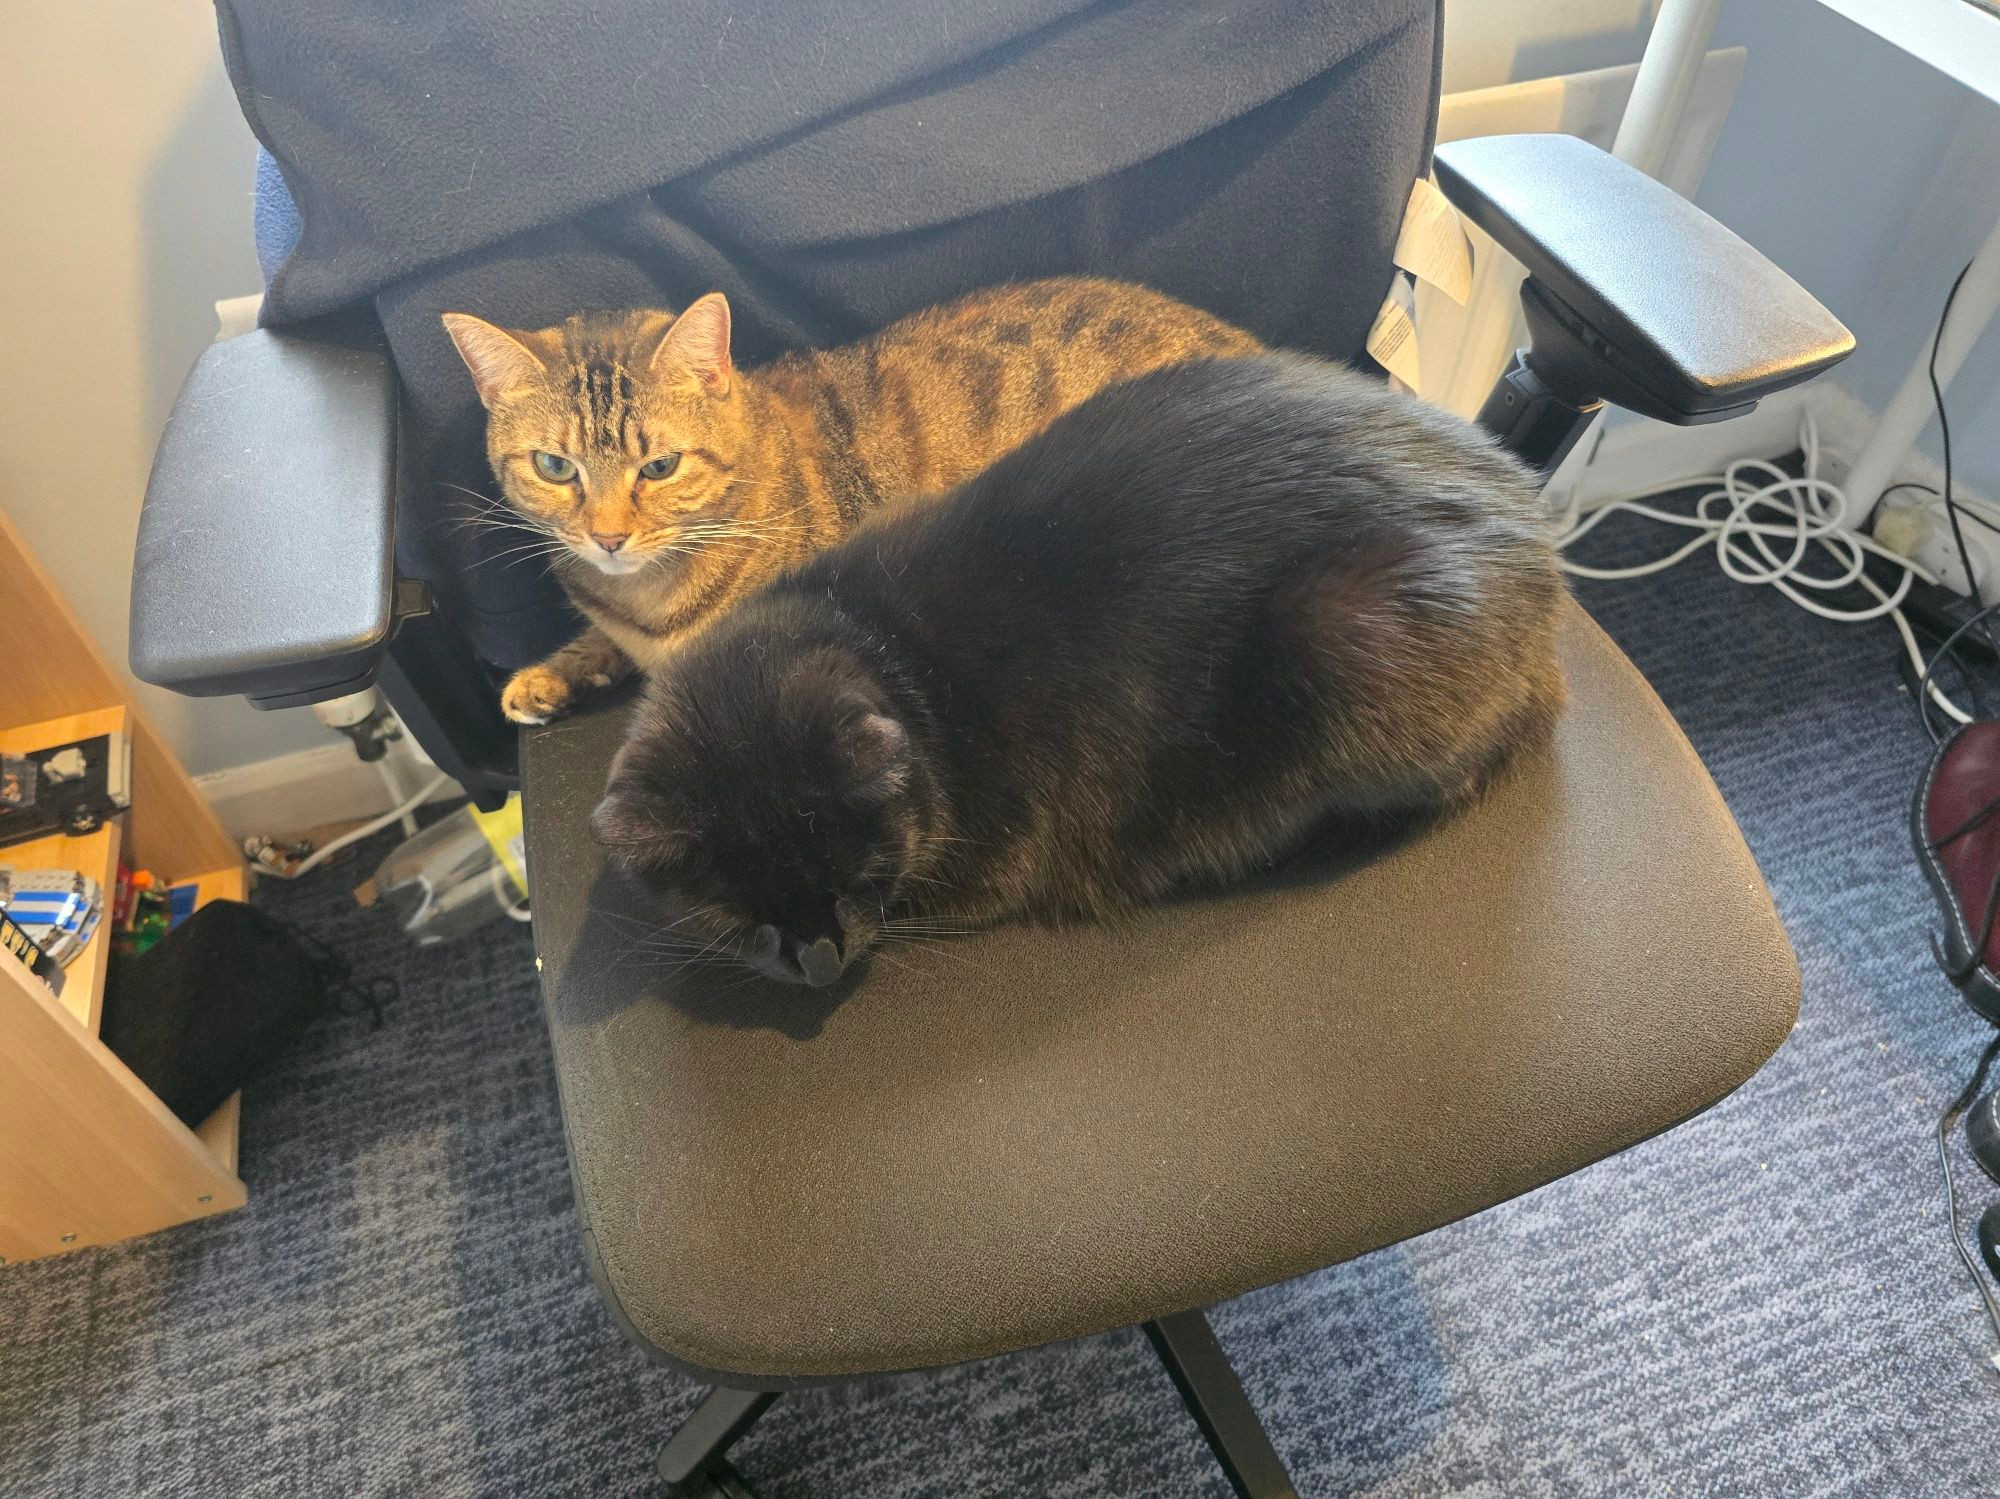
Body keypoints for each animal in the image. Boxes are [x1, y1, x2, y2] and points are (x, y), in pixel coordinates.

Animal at [588, 351, 1560, 987]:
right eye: (738, 916)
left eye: (859, 876)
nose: (821, 961)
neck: (891, 652)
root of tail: (1534, 526)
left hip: (1347, 629)